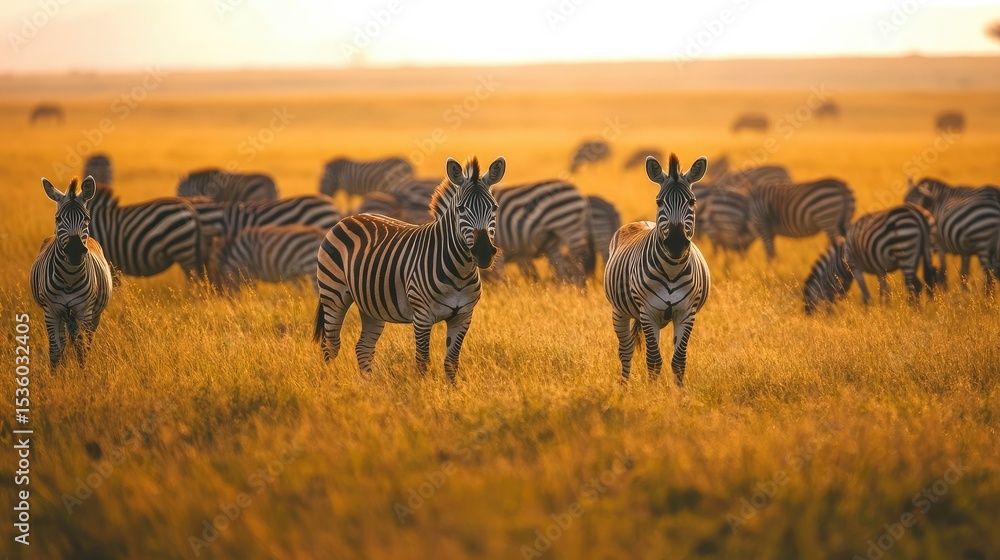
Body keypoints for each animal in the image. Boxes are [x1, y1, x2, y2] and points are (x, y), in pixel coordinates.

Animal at [31, 176, 113, 368]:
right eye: (58, 219)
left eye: (87, 218)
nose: (75, 252)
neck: (69, 277)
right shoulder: (51, 311)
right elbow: (55, 351)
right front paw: (56, 374)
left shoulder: (84, 310)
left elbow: (82, 350)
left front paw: (83, 374)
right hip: (63, 316)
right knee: (63, 342)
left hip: (93, 315)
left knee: (84, 341)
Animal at [315, 156, 505, 383]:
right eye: (460, 209)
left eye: (494, 208)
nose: (484, 252)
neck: (460, 272)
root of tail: (350, 217)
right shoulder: (422, 316)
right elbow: (422, 362)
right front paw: (422, 391)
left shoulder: (463, 316)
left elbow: (451, 362)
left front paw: (452, 390)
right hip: (333, 294)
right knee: (331, 345)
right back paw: (330, 382)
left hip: (371, 304)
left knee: (363, 347)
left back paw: (368, 385)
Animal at [605, 154, 710, 386]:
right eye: (659, 202)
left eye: (692, 202)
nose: (676, 244)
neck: (672, 269)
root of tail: (641, 221)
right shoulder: (648, 311)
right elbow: (653, 361)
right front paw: (653, 393)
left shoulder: (686, 312)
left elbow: (678, 361)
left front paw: (679, 394)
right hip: (619, 311)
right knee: (625, 351)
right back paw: (623, 387)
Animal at [803, 204, 938, 314]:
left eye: (810, 304)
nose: (828, 319)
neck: (841, 260)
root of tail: (918, 214)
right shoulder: (879, 268)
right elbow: (884, 290)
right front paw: (885, 310)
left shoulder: (855, 267)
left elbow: (866, 294)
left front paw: (868, 314)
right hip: (923, 252)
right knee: (922, 283)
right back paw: (916, 311)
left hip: (905, 251)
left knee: (913, 285)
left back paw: (913, 312)